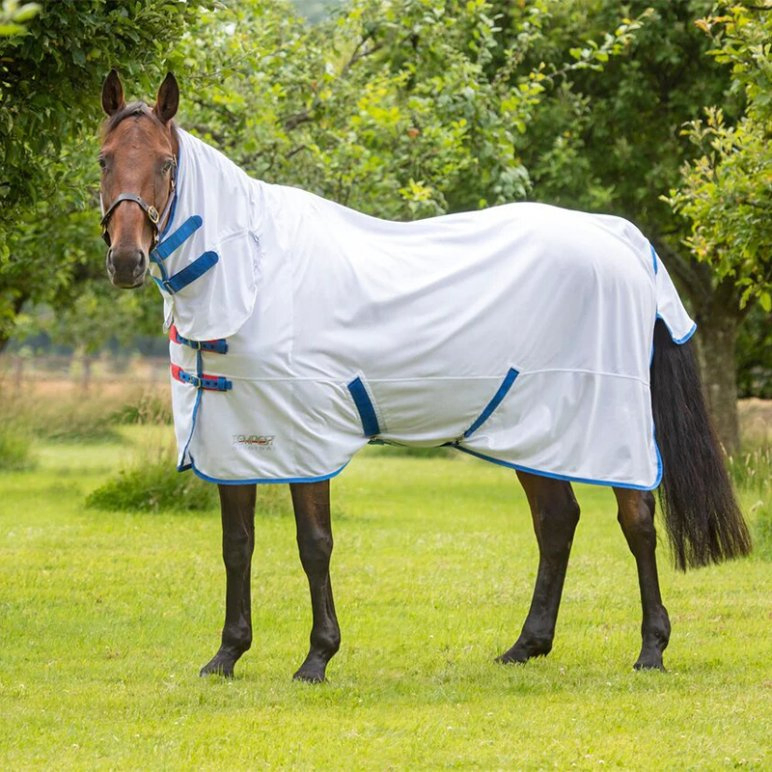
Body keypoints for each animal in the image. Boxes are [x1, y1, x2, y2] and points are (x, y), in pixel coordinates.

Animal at [98, 70, 751, 682]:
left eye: (165, 163)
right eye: (104, 158)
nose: (127, 261)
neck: (253, 272)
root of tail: (619, 238)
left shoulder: (304, 439)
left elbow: (314, 545)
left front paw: (317, 658)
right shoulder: (234, 441)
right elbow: (237, 545)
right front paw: (227, 656)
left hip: (607, 430)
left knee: (636, 521)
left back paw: (651, 650)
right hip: (534, 430)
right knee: (556, 521)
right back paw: (526, 646)